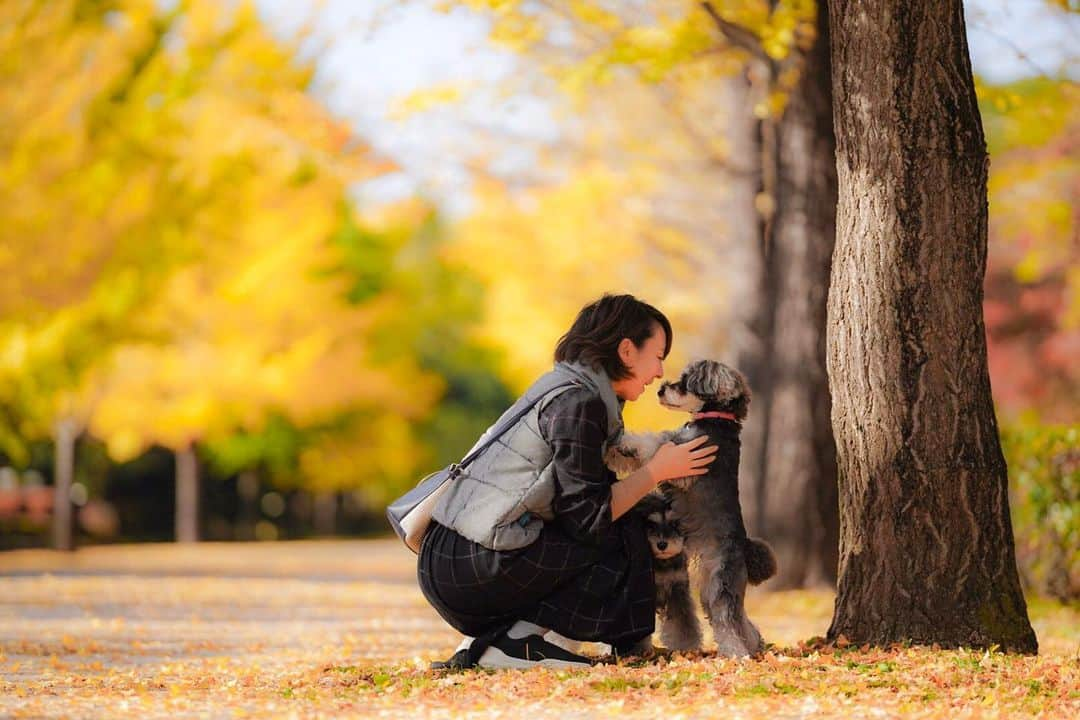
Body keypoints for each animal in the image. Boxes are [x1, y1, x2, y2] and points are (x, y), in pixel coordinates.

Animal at [609, 360, 777, 660]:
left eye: (686, 381)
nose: (661, 389)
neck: (716, 419)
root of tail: (744, 550)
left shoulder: (681, 456)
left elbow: (649, 443)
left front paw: (622, 442)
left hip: (719, 585)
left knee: (727, 622)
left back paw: (736, 654)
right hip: (714, 590)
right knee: (741, 620)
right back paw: (755, 646)